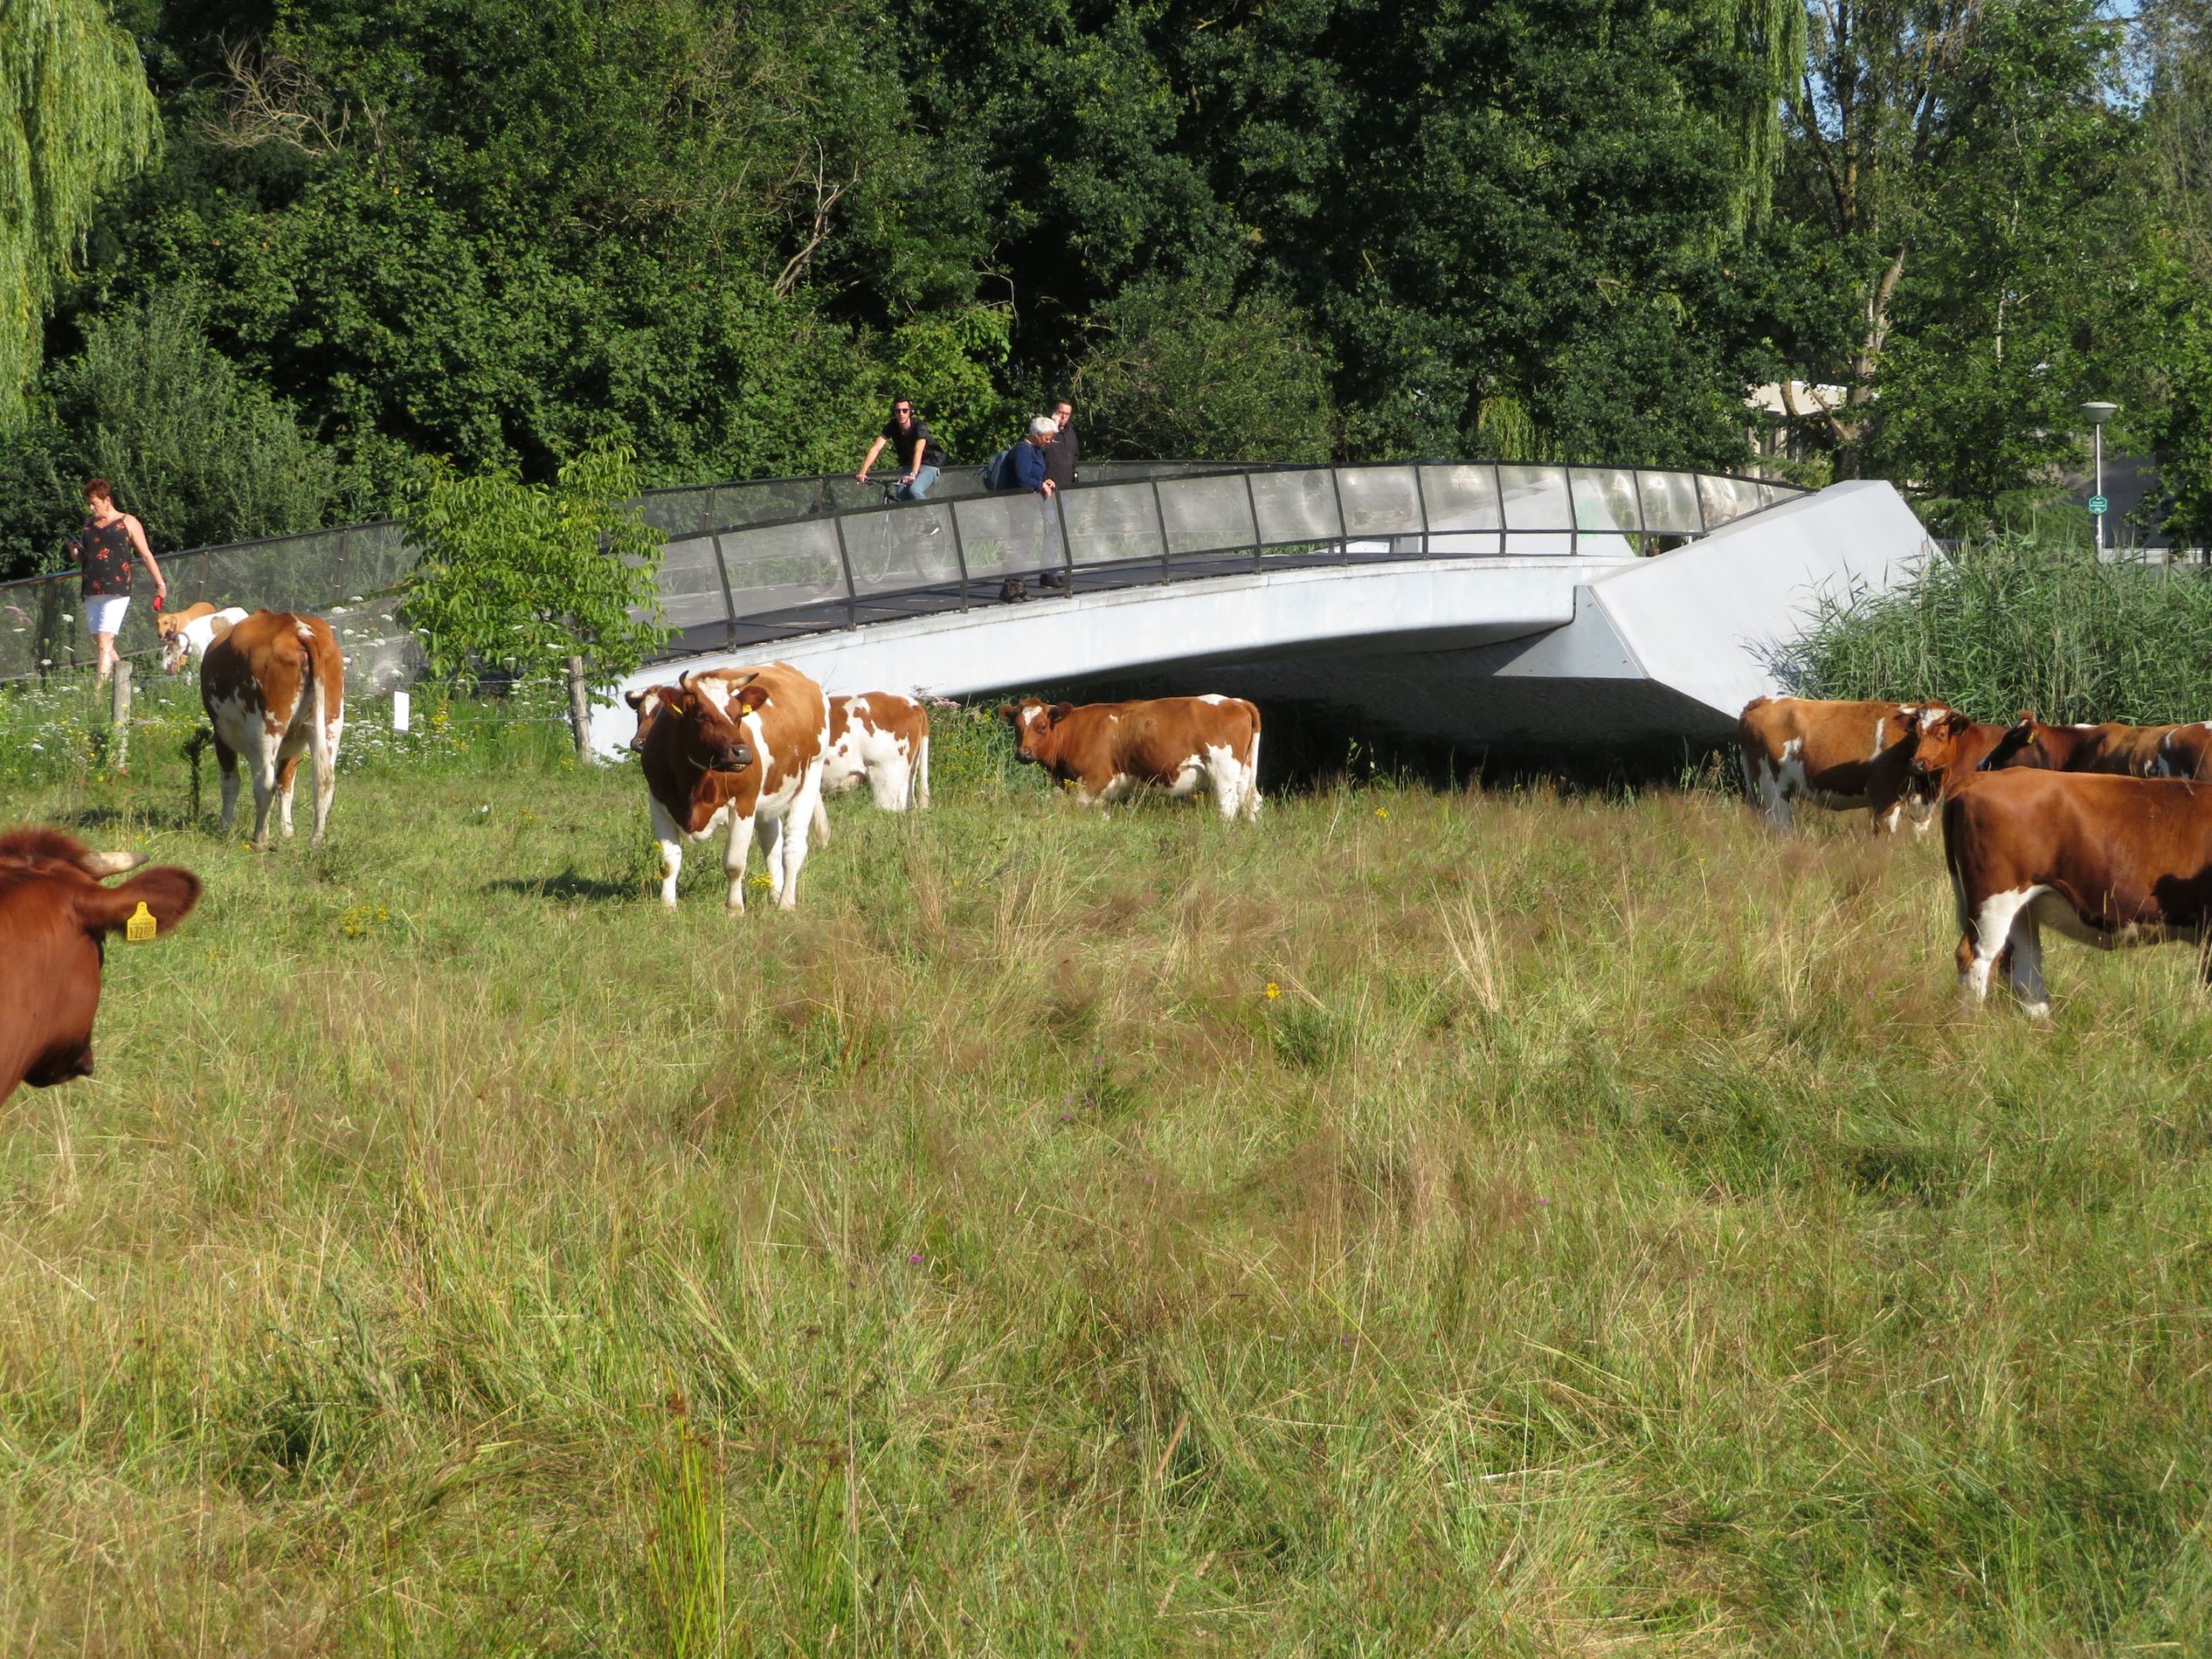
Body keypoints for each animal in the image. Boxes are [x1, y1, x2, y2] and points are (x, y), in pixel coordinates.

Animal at [199, 609, 346, 850]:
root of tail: (297, 628)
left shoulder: (221, 734)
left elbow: (231, 783)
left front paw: (224, 827)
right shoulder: (294, 746)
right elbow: (285, 784)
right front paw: (287, 831)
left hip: (265, 728)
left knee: (264, 784)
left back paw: (260, 838)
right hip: (330, 724)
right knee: (324, 781)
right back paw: (316, 841)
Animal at [631, 661, 829, 910]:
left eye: (738, 716)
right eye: (702, 715)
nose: (742, 752)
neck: (693, 783)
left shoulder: (744, 804)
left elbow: (734, 864)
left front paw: (734, 908)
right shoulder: (658, 803)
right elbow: (669, 862)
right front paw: (668, 906)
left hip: (811, 774)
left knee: (793, 846)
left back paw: (785, 903)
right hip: (767, 799)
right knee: (772, 843)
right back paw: (775, 894)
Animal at [996, 694, 1262, 819]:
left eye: (1042, 726)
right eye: (1017, 727)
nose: (1023, 753)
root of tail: (1235, 701)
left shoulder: (1093, 781)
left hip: (1224, 773)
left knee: (1228, 807)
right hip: (1244, 772)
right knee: (1252, 802)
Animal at [1735, 696, 1950, 832]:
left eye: (1943, 734)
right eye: (1918, 732)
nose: (1919, 763)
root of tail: (1764, 701)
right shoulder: (1884, 796)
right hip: (1771, 785)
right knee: (1781, 826)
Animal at [1944, 769, 2212, 1017]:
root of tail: (1980, 777)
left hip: (2023, 910)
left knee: (2025, 969)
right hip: (1995, 901)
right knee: (1976, 960)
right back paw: (1973, 1027)